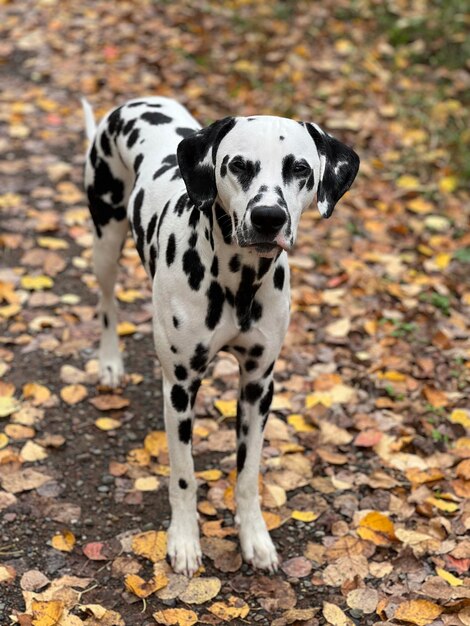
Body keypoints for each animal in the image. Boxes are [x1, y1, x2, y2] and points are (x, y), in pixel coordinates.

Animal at [81, 97, 360, 576]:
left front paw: (255, 538)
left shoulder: (258, 385)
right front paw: (184, 541)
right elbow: (184, 476)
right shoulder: (179, 388)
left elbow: (247, 475)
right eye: (239, 165)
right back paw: (110, 363)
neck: (239, 282)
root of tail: (133, 103)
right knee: (106, 304)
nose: (269, 218)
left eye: (300, 168)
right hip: (105, 239)